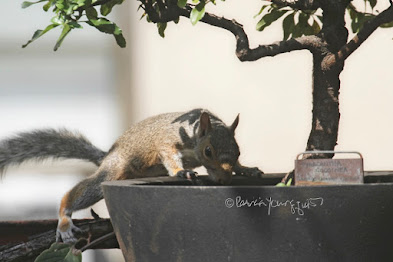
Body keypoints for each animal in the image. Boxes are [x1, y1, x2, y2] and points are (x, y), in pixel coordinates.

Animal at [0, 107, 264, 243]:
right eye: (208, 151)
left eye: (238, 151)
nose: (224, 181)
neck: (194, 133)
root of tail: (108, 155)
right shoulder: (167, 142)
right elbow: (170, 156)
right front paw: (181, 171)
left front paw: (246, 169)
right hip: (113, 170)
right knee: (80, 193)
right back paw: (65, 220)